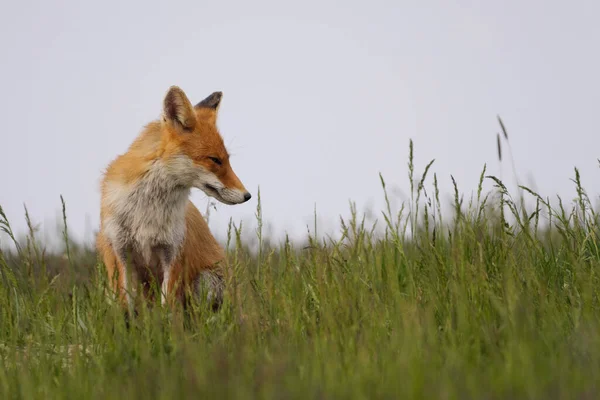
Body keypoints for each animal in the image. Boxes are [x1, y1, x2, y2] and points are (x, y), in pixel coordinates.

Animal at [96, 86, 251, 314]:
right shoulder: (120, 253)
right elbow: (126, 309)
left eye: (227, 160)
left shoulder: (173, 253)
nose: (247, 195)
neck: (147, 212)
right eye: (215, 160)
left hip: (207, 281)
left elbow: (167, 309)